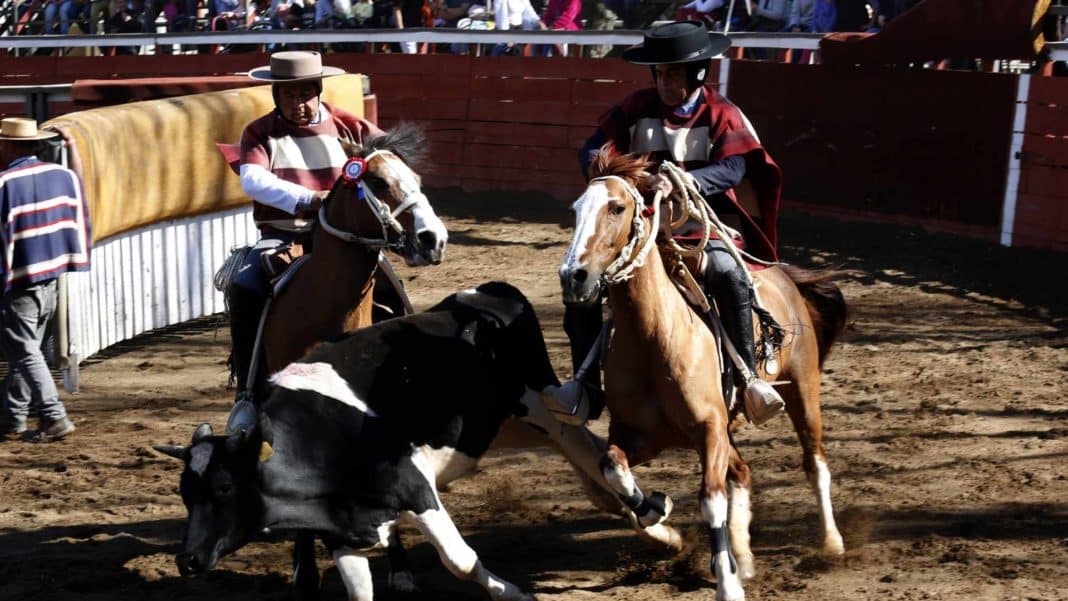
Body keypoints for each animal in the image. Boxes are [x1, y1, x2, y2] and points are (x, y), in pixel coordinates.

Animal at [160, 283, 568, 601]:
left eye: (224, 487)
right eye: (184, 494)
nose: (186, 560)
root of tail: (490, 291)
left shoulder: (416, 489)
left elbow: (461, 561)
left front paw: (512, 592)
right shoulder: (340, 530)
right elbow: (360, 590)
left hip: (538, 401)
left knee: (575, 443)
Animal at [559, 153, 850, 601]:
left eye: (617, 208)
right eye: (575, 210)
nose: (573, 276)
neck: (655, 338)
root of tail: (785, 278)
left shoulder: (708, 431)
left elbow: (711, 500)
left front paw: (727, 585)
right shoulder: (638, 435)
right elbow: (613, 470)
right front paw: (654, 508)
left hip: (803, 391)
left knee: (814, 462)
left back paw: (831, 541)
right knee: (743, 473)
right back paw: (743, 556)